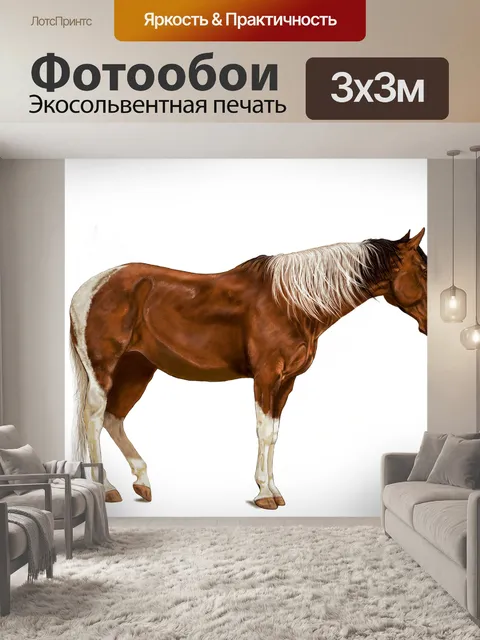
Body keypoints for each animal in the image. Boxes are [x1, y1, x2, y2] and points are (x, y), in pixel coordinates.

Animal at [69, 229, 427, 510]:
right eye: (423, 267)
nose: (429, 324)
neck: (291, 303)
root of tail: (87, 289)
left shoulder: (286, 382)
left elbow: (275, 434)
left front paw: (274, 489)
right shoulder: (266, 377)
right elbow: (264, 431)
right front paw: (265, 494)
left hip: (138, 369)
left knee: (114, 419)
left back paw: (142, 481)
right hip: (104, 370)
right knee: (94, 419)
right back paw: (107, 488)